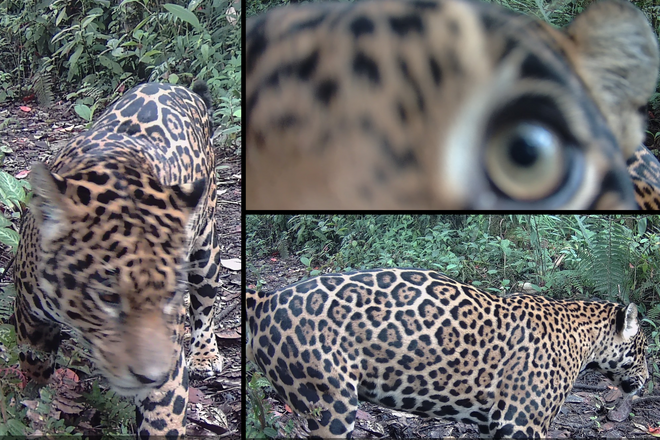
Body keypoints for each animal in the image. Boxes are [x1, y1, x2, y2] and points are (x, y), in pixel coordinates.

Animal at [13, 81, 224, 438]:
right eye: (108, 297)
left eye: (169, 295)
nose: (151, 376)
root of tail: (176, 86)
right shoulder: (30, 316)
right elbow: (34, 368)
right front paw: (34, 410)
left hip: (205, 250)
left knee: (206, 305)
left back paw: (205, 354)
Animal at [246, 268, 648, 439]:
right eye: (644, 350)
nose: (647, 380)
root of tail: (266, 299)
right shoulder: (522, 423)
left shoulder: (494, 424)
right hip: (330, 404)